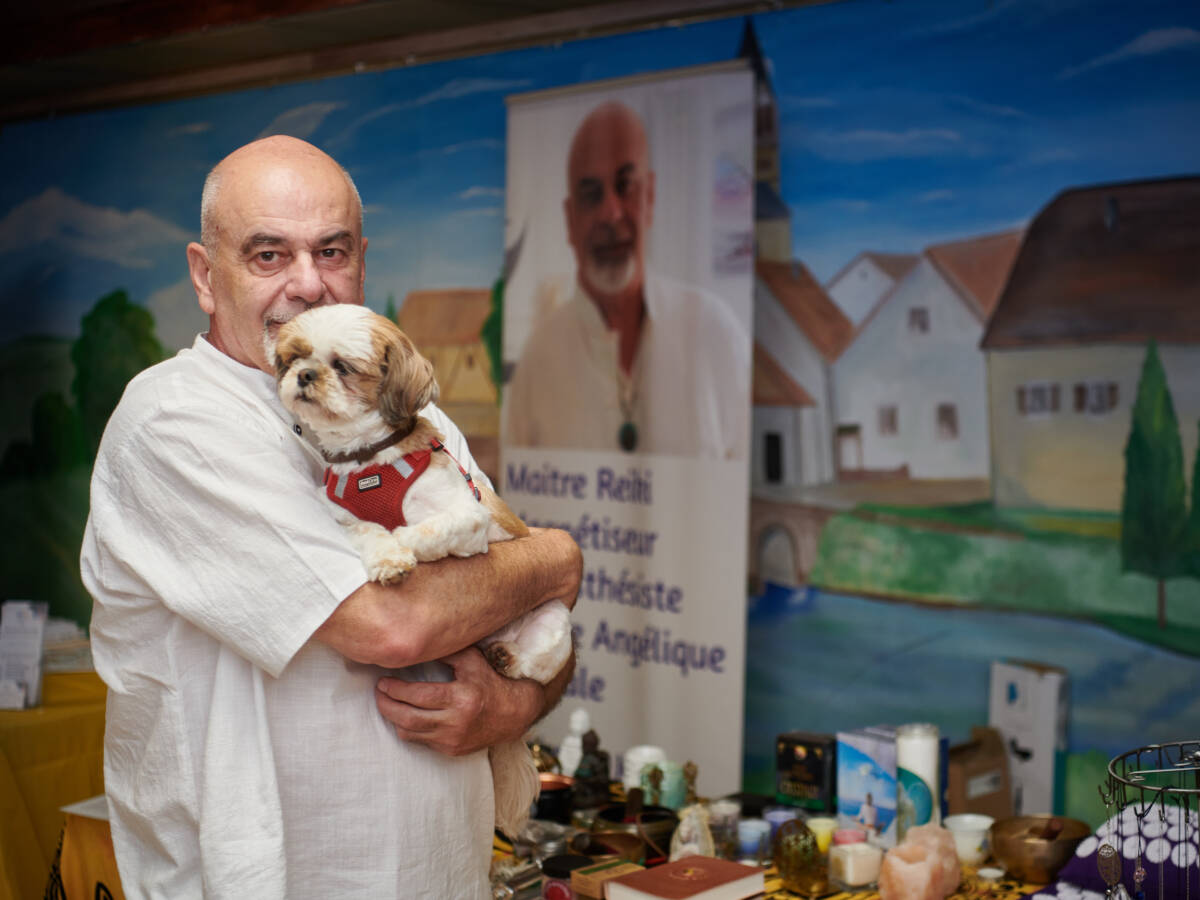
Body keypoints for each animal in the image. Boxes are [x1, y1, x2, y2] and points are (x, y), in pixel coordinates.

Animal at [274, 304, 573, 840]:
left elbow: (420, 530)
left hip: (555, 621)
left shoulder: (468, 518)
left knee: (534, 672)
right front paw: (387, 558)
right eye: (293, 358)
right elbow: (369, 531)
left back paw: (506, 658)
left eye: (343, 366)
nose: (304, 375)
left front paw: (402, 548)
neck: (368, 462)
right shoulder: (341, 516)